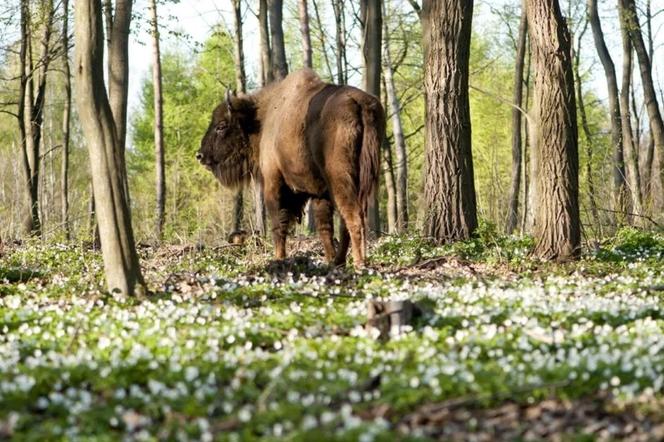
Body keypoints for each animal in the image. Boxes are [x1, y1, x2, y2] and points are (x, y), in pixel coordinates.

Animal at [197, 69, 384, 270]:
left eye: (221, 125)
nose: (200, 155)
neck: (261, 119)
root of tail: (359, 103)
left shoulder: (273, 182)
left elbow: (278, 224)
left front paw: (279, 259)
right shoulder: (320, 193)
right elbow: (324, 228)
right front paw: (329, 260)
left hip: (341, 179)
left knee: (353, 217)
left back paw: (359, 263)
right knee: (345, 222)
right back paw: (340, 261)